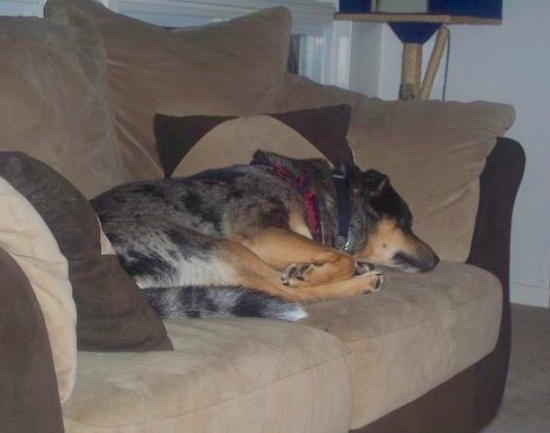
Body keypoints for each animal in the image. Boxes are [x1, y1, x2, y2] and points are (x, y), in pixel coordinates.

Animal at [94, 150, 440, 318]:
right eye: (408, 222)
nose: (438, 260)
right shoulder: (260, 234)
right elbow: (340, 257)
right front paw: (313, 273)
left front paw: (313, 268)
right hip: (221, 246)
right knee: (289, 294)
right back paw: (360, 282)